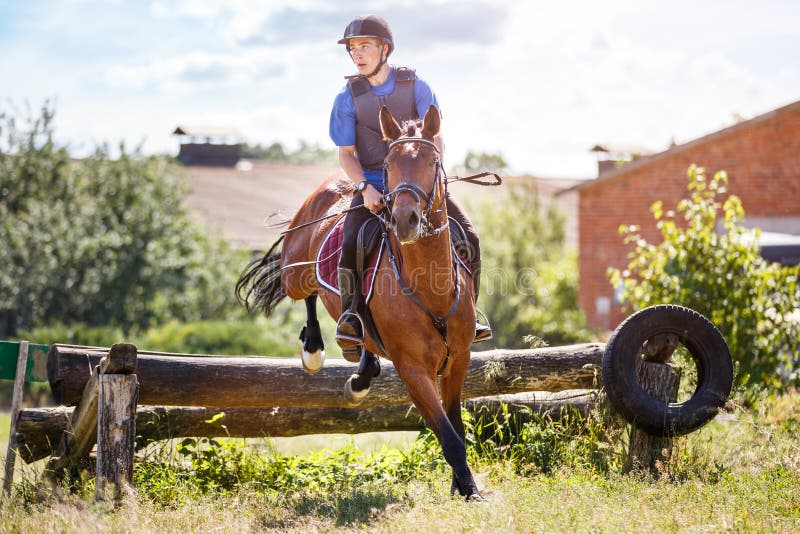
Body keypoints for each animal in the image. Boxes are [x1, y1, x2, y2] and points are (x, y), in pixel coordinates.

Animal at [233, 105, 482, 502]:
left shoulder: (459, 359)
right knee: (306, 294)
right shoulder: (413, 370)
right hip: (295, 272)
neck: (430, 286)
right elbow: (448, 436)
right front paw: (470, 491)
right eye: (389, 163)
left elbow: (456, 425)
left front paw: (463, 487)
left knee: (361, 335)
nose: (405, 220)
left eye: (432, 161)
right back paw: (315, 348)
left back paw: (361, 365)